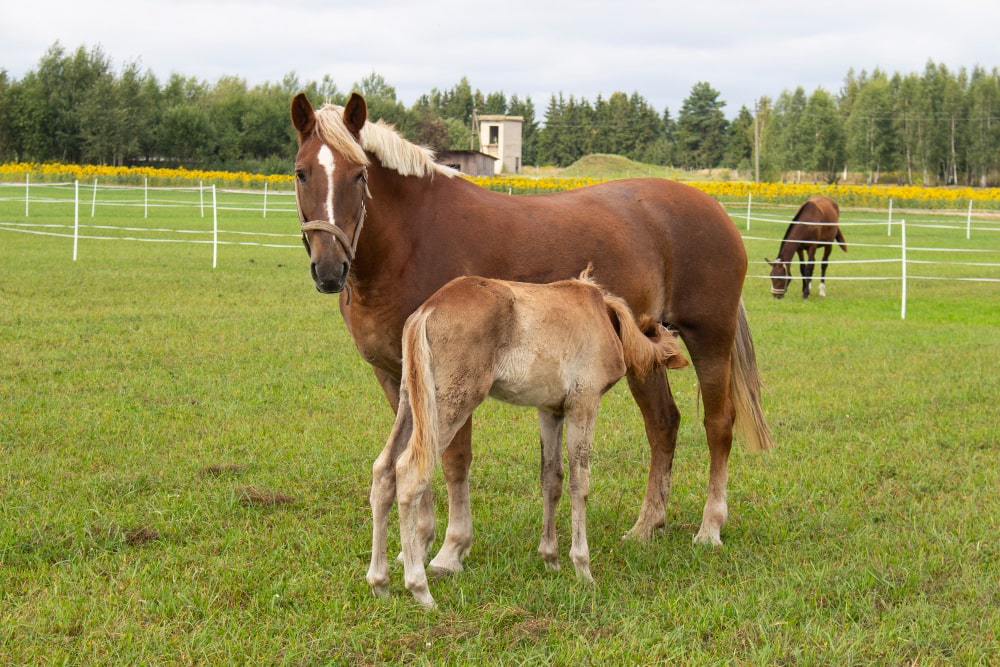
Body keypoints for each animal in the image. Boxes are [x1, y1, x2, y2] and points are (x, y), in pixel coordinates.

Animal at [368, 274, 688, 608]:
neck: (605, 316)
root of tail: (425, 312)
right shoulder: (583, 404)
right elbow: (579, 482)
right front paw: (582, 568)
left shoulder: (550, 411)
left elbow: (552, 478)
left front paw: (551, 558)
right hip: (448, 406)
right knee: (409, 473)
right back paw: (419, 588)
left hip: (411, 403)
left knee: (384, 471)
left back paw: (380, 582)